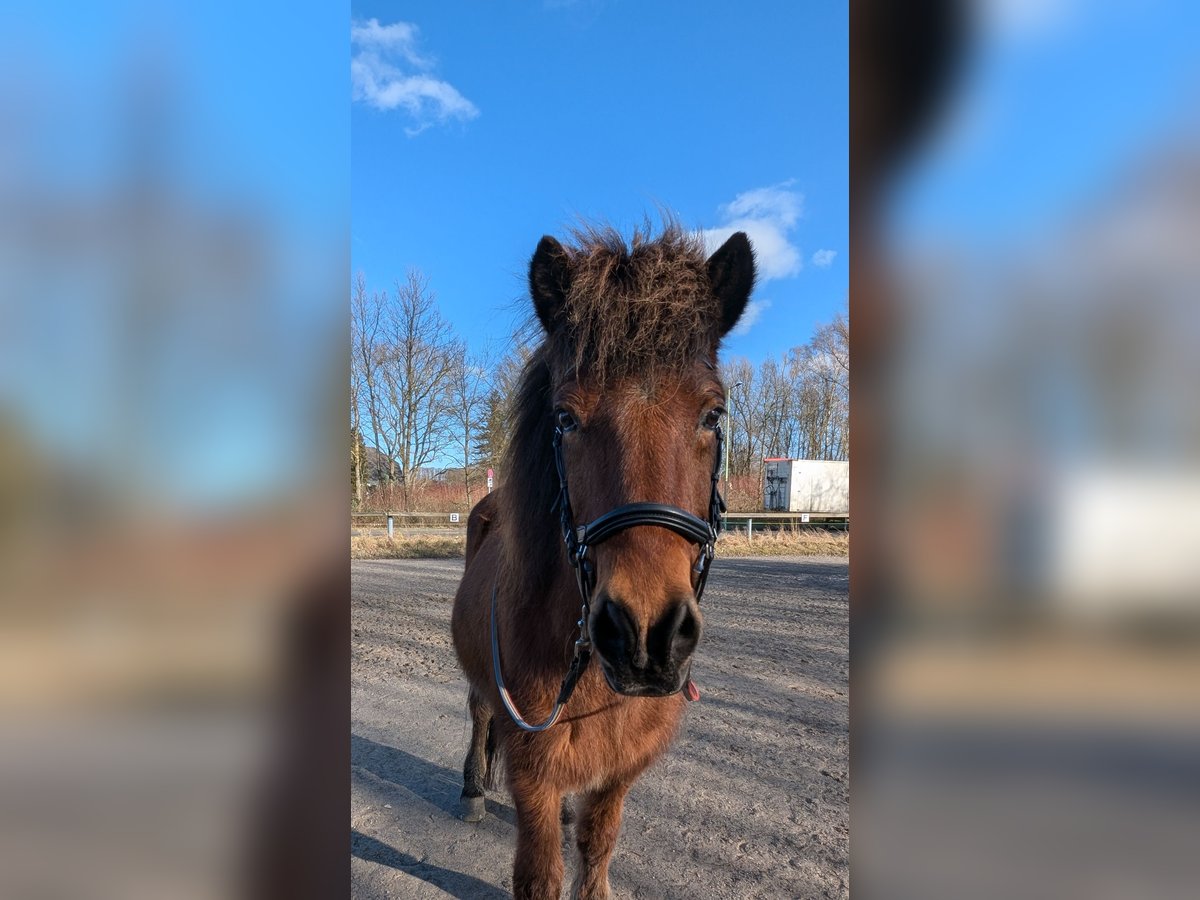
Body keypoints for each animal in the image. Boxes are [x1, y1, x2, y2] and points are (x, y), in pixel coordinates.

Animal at [451, 222, 748, 897]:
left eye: (713, 413)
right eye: (565, 417)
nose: (646, 635)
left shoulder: (620, 772)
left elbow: (597, 846)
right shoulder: (531, 772)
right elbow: (540, 876)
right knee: (478, 712)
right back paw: (472, 790)